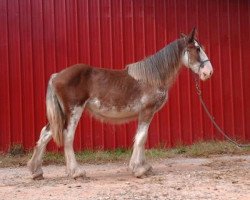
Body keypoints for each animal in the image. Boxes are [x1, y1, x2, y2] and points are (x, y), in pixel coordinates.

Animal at [27, 28, 213, 180]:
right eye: (197, 49)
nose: (208, 72)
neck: (151, 77)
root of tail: (56, 75)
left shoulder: (144, 113)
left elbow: (142, 137)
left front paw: (144, 167)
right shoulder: (147, 111)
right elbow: (141, 137)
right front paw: (139, 170)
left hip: (62, 114)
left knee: (45, 134)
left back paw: (36, 172)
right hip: (73, 111)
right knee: (67, 136)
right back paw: (76, 173)